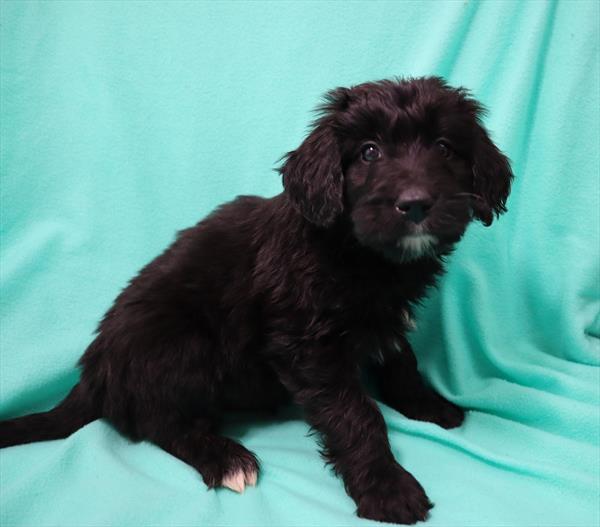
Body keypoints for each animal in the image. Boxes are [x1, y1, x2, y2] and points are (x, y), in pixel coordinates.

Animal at [1, 76, 510, 524]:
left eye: (444, 147)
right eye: (369, 152)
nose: (416, 203)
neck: (359, 252)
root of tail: (95, 370)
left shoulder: (385, 317)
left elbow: (402, 361)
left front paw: (427, 404)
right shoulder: (308, 346)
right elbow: (357, 415)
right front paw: (387, 488)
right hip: (182, 344)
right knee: (159, 421)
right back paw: (225, 458)